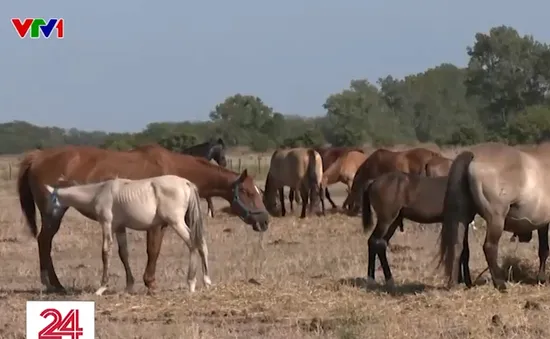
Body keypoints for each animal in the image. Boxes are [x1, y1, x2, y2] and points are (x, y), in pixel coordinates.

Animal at [45, 177, 211, 296]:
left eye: (51, 200)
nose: (48, 221)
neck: (99, 192)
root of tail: (187, 183)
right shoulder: (120, 228)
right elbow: (123, 253)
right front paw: (129, 286)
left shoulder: (107, 225)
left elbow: (106, 252)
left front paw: (102, 287)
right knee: (201, 243)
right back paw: (207, 281)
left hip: (176, 222)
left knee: (192, 243)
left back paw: (191, 282)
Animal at [440, 143, 550, 292]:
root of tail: (472, 154)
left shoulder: (542, 222)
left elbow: (543, 250)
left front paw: (542, 279)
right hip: (496, 218)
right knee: (489, 247)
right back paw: (500, 284)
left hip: (462, 217)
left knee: (457, 245)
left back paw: (454, 284)